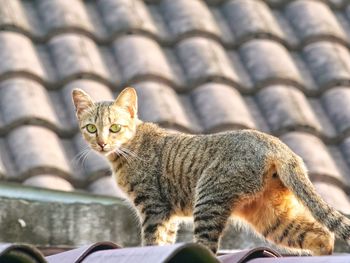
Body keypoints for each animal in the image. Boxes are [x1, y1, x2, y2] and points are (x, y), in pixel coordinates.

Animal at [72, 88, 350, 256]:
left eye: (115, 128)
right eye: (91, 128)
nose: (102, 143)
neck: (129, 149)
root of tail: (276, 144)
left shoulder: (154, 207)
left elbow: (151, 242)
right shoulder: (169, 216)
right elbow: (164, 243)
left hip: (209, 198)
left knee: (207, 247)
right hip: (271, 216)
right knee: (322, 233)